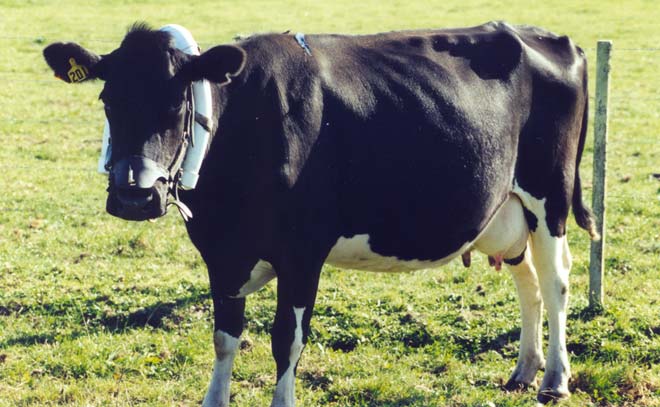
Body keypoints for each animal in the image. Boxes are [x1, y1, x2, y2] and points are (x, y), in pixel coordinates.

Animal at [43, 21, 598, 406]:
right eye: (107, 99)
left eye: (178, 104)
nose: (134, 197)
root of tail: (550, 38)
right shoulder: (221, 253)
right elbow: (225, 338)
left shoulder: (302, 253)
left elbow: (286, 341)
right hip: (507, 210)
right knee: (527, 281)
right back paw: (524, 370)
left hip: (549, 196)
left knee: (555, 281)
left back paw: (554, 379)